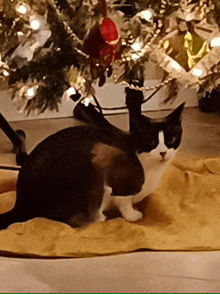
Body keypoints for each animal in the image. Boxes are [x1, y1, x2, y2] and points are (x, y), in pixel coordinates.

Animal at [0, 103, 185, 230]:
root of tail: (19, 205)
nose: (163, 152)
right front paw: (132, 215)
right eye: (151, 142)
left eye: (171, 139)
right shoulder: (114, 177)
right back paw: (100, 218)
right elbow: (123, 200)